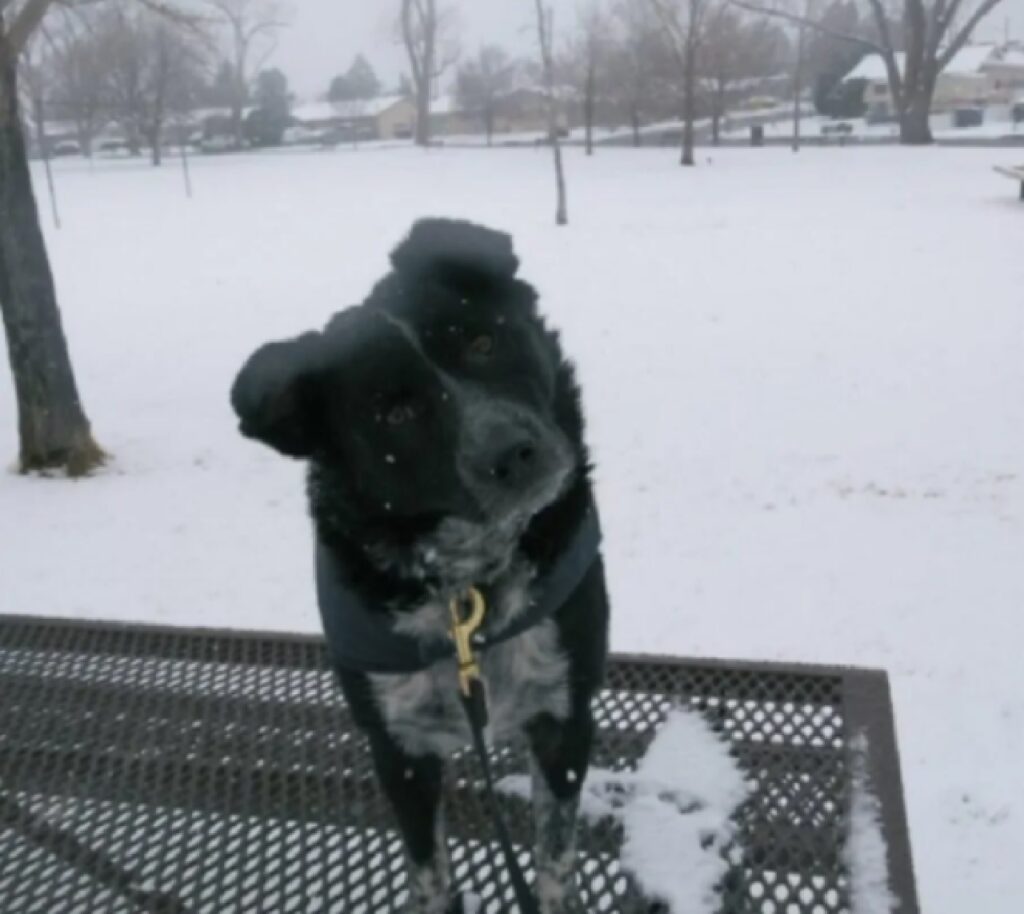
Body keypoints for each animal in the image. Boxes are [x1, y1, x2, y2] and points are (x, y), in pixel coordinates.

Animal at [232, 218, 606, 908]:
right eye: (395, 413)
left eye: (484, 340)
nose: (513, 453)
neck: (468, 591)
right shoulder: (398, 747)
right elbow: (429, 871)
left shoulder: (564, 718)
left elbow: (554, 861)